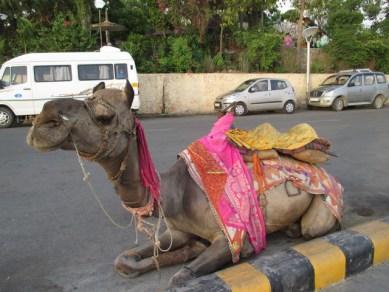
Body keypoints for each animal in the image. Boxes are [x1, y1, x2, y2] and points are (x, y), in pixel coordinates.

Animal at [26, 81, 340, 286]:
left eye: (104, 116)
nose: (44, 119)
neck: (173, 193)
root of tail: (327, 172)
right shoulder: (176, 230)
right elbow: (125, 259)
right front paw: (188, 250)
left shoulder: (230, 237)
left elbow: (180, 277)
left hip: (321, 206)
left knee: (314, 228)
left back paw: (295, 229)